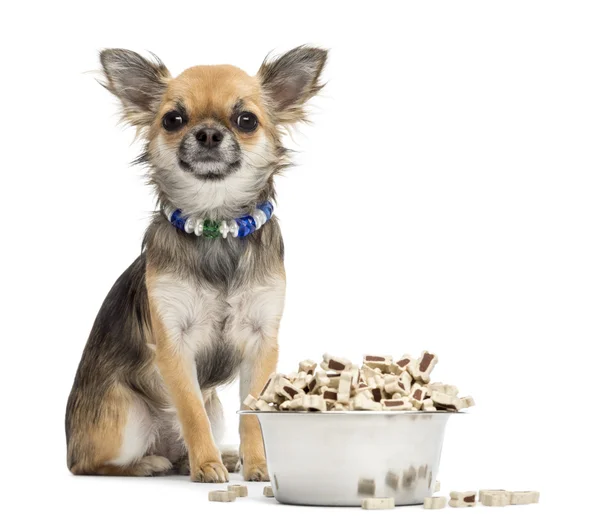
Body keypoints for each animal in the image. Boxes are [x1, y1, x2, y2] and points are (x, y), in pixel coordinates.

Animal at [65, 45, 326, 482]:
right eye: (173, 119)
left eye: (246, 120)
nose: (206, 133)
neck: (215, 226)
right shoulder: (175, 345)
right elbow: (190, 413)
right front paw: (206, 465)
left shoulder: (261, 343)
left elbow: (251, 414)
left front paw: (258, 464)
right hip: (127, 418)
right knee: (92, 465)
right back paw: (151, 463)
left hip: (214, 407)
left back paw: (222, 456)